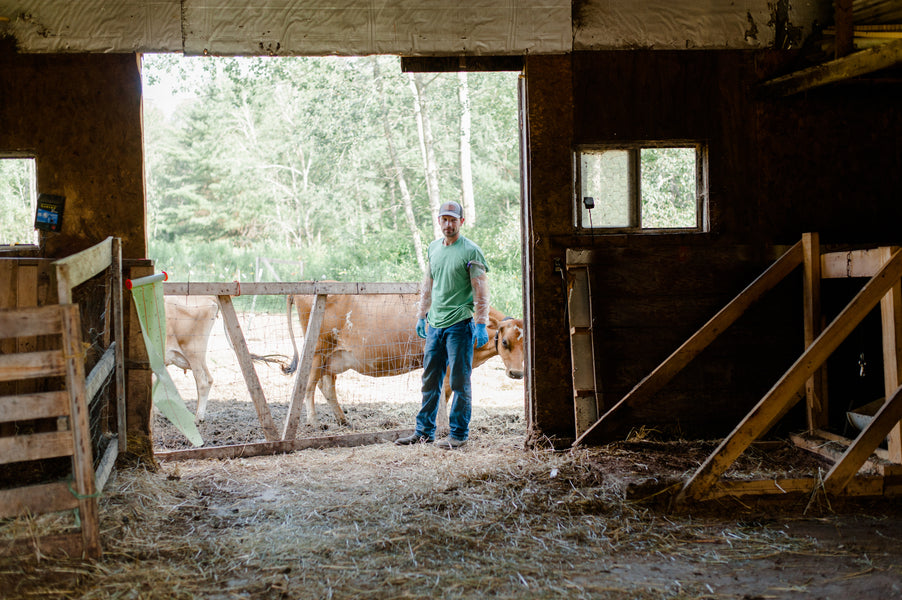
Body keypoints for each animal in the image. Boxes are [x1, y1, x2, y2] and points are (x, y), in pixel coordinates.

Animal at [282, 294, 524, 426]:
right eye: (504, 342)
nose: (517, 373)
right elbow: (443, 393)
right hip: (318, 350)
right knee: (309, 385)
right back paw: (314, 421)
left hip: (333, 357)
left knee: (327, 385)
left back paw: (342, 420)